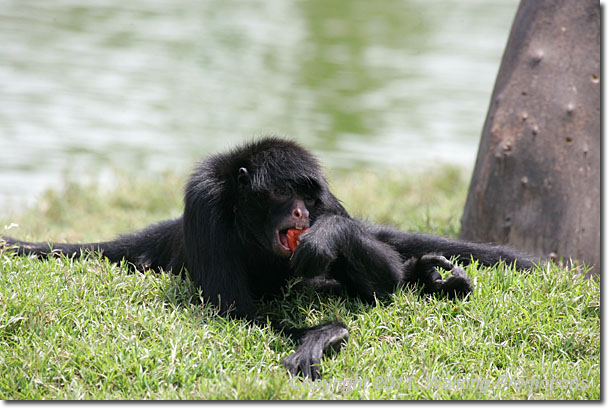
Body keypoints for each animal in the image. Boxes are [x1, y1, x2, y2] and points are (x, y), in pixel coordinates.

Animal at [1, 139, 532, 382]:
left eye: (304, 196)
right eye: (280, 193)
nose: (299, 212)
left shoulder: (328, 200)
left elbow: (380, 287)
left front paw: (334, 239)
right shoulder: (204, 203)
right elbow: (233, 310)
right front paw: (326, 334)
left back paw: (429, 277)